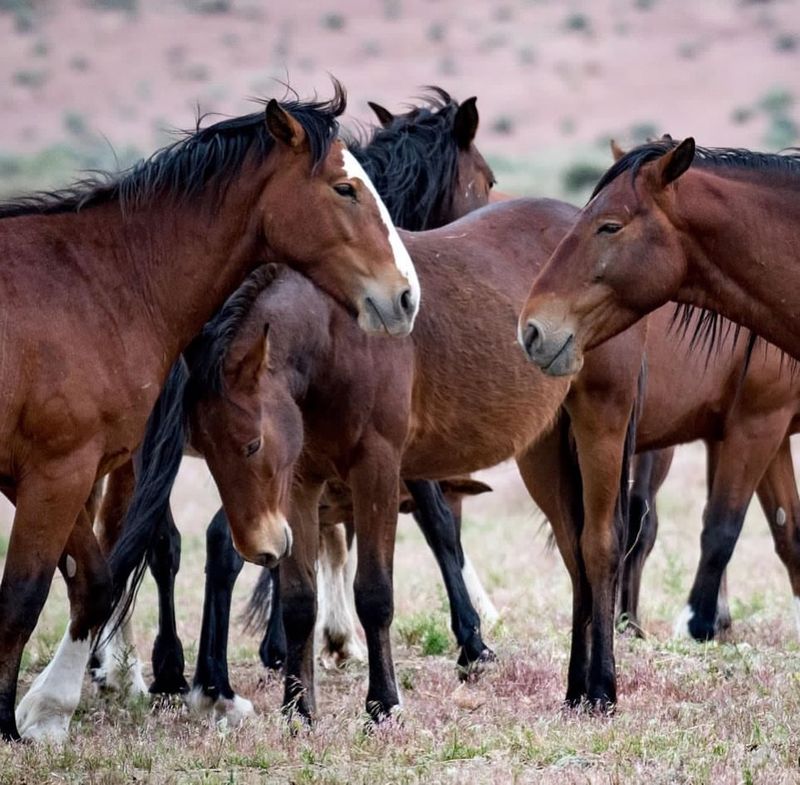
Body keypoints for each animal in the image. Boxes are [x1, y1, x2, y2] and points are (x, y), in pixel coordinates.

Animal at [3, 86, 422, 740]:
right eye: (344, 188)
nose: (406, 296)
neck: (106, 281)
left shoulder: (56, 469)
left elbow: (96, 574)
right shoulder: (59, 468)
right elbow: (29, 593)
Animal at [89, 89, 500, 712]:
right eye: (487, 180)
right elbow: (436, 522)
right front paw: (471, 640)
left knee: (148, 540)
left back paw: (149, 669)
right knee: (200, 541)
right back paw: (189, 673)